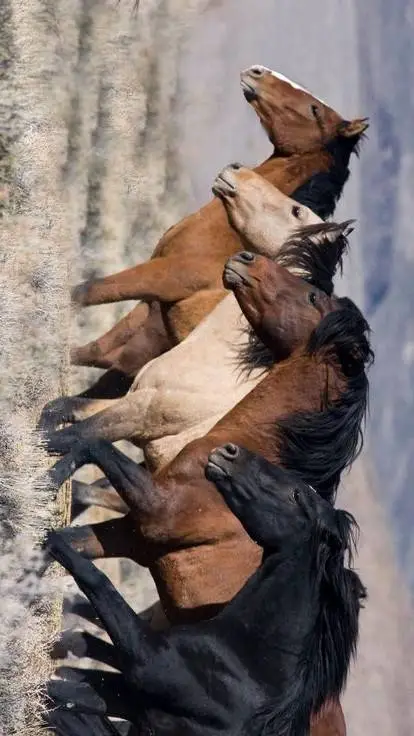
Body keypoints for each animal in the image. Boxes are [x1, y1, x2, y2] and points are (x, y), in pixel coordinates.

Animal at [44, 453, 366, 736]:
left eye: (296, 496)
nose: (231, 451)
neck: (248, 664)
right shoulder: (125, 695)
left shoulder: (144, 661)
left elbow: (96, 581)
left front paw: (49, 537)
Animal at [69, 65, 368, 399]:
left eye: (314, 110)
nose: (257, 71)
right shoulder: (153, 308)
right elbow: (95, 350)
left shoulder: (164, 277)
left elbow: (90, 293)